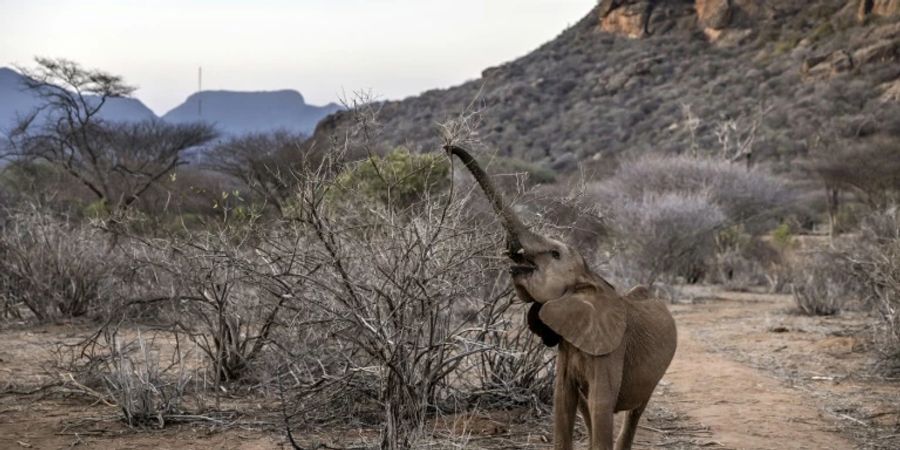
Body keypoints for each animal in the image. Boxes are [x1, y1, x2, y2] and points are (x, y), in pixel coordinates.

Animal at [446, 145, 680, 450]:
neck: (588, 280)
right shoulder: (568, 345)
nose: (448, 148)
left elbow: (600, 404)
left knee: (635, 410)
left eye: (555, 254)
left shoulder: (610, 349)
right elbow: (563, 401)